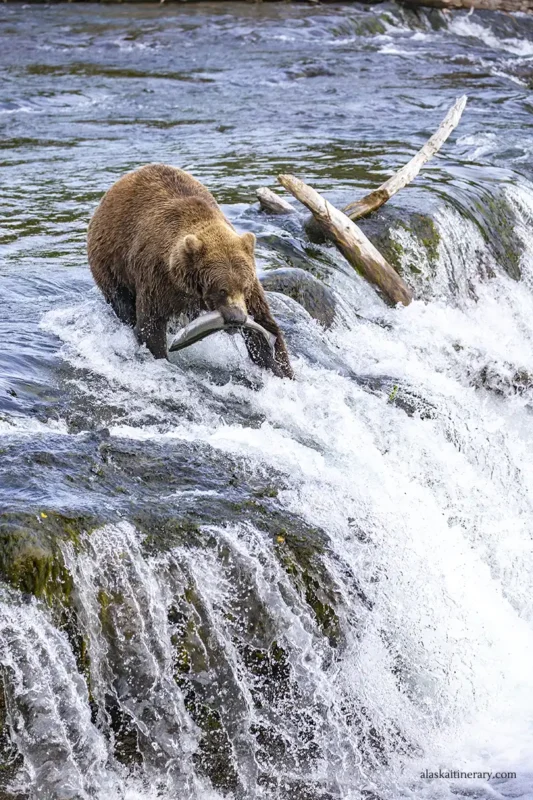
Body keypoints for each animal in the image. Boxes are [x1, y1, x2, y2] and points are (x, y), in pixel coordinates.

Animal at [87, 164, 293, 378]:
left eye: (243, 288)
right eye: (222, 289)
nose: (237, 318)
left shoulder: (251, 288)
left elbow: (263, 324)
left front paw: (281, 369)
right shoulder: (156, 278)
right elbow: (150, 324)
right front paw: (160, 356)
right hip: (111, 262)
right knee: (122, 302)